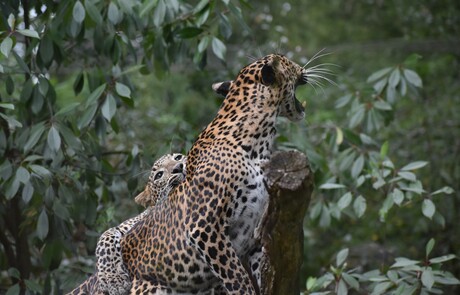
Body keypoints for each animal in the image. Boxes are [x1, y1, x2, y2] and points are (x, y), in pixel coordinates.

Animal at [120, 54, 310, 294]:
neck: (258, 143)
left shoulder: (257, 231)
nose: (303, 68)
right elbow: (236, 275)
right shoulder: (204, 226)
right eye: (288, 62)